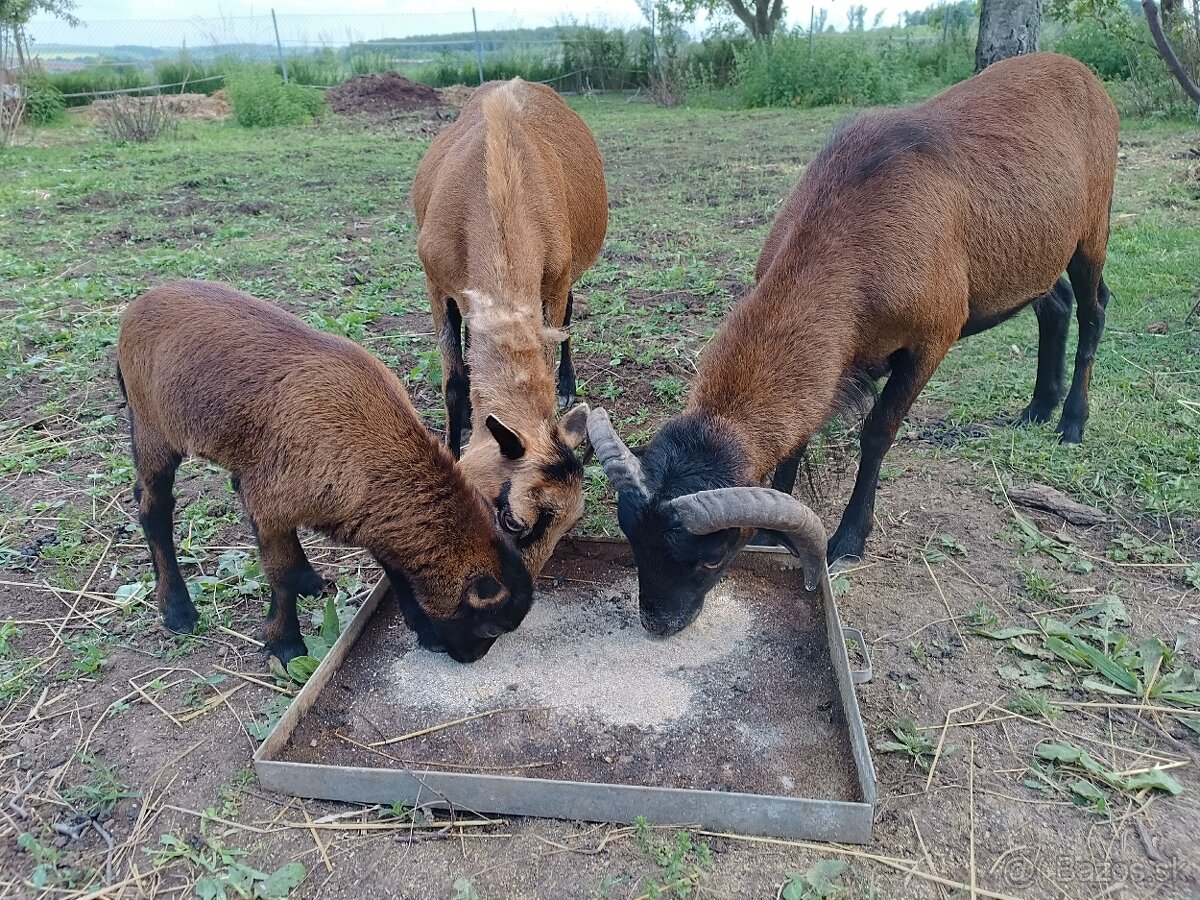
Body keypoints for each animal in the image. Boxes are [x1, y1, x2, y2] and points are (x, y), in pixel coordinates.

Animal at [118, 282, 535, 672]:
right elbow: (281, 574)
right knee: (153, 507)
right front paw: (286, 645)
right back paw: (178, 611)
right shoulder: (272, 504)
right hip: (152, 426)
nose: (470, 659)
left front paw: (423, 629)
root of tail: (143, 301)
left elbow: (392, 567)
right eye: (490, 627)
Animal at [585, 52, 1118, 638]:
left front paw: (848, 540)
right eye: (631, 540)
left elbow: (878, 431)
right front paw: (775, 531)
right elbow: (797, 437)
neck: (849, 246)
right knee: (1057, 304)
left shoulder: (934, 338)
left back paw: (1071, 422)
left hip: (1093, 225)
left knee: (1094, 309)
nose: (657, 623)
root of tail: (1079, 69)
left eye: (710, 558)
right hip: (1037, 254)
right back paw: (1037, 409)